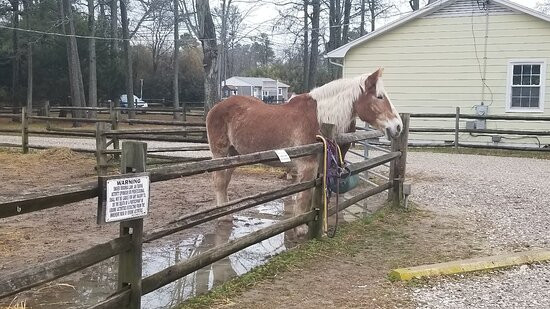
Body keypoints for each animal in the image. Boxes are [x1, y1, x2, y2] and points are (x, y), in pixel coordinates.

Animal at [209, 68, 404, 233]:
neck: (318, 117)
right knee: (219, 182)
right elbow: (304, 196)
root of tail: (215, 108)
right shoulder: (307, 166)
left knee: (224, 183)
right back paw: (224, 218)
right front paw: (301, 228)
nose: (398, 126)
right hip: (221, 155)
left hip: (234, 156)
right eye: (379, 97)